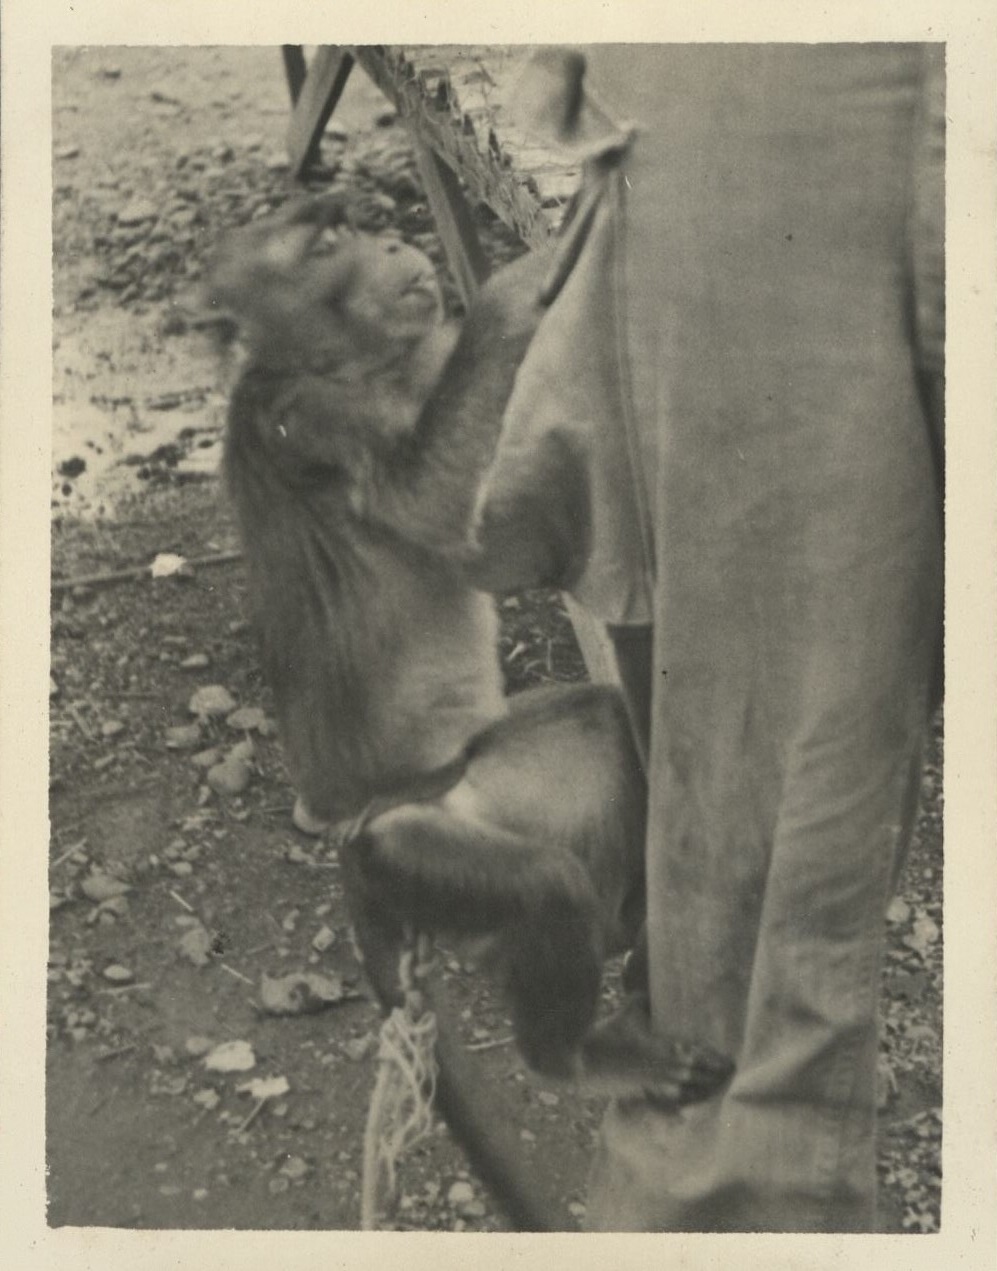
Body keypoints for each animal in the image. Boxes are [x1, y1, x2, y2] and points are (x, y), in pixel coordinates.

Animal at [207, 198, 732, 1219]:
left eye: (351, 228)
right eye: (327, 244)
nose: (393, 241)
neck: (361, 367)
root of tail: (351, 838)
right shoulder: (309, 416)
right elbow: (431, 509)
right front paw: (519, 285)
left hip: (485, 787)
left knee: (597, 727)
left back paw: (628, 922)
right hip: (411, 849)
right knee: (541, 888)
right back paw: (571, 1056)